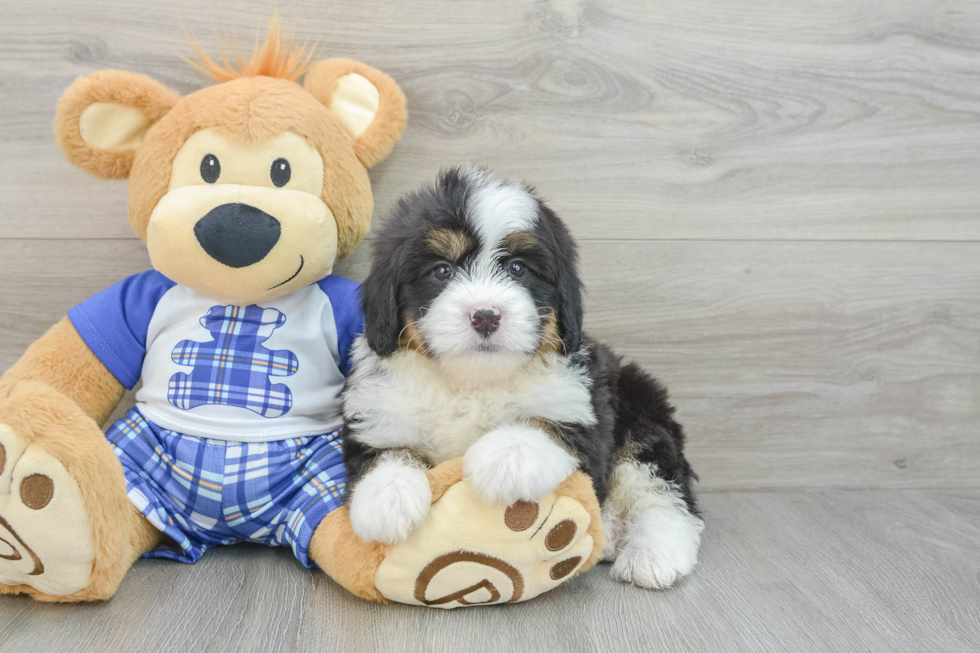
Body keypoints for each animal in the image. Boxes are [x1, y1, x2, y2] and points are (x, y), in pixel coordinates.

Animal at [344, 167, 704, 584]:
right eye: (442, 270)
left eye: (517, 268)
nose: (485, 315)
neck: (471, 382)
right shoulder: (378, 413)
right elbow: (385, 451)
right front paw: (386, 497)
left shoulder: (583, 406)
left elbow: (545, 423)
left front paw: (504, 459)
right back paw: (612, 532)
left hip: (640, 414)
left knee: (661, 492)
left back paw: (652, 553)